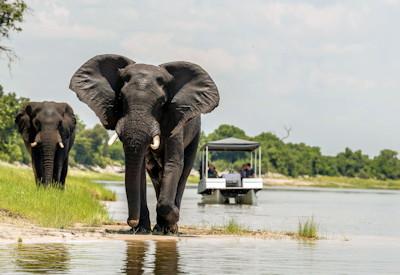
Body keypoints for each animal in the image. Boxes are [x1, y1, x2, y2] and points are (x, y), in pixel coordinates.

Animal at [69, 54, 219, 235]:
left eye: (162, 103)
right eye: (121, 99)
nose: (131, 221)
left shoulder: (176, 120)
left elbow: (173, 163)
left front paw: (171, 221)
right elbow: (139, 169)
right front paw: (141, 230)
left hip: (195, 132)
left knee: (184, 172)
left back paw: (169, 227)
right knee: (155, 175)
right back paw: (160, 227)